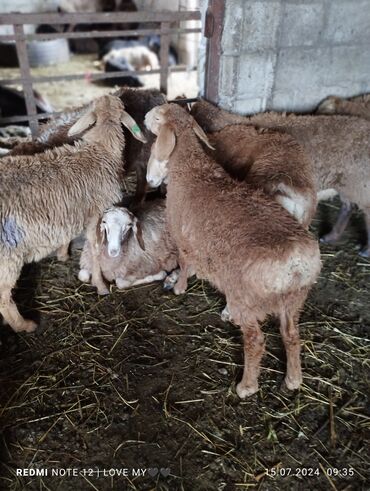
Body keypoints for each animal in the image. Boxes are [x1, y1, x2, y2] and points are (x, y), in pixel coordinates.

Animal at [0, 95, 147, 334]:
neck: (99, 151)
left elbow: (66, 235)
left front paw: (62, 255)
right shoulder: (97, 215)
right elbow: (96, 248)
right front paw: (101, 285)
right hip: (8, 257)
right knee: (3, 299)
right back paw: (25, 325)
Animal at [145, 104, 320, 400]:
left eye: (157, 117)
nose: (144, 117)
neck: (191, 167)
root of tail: (294, 265)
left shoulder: (182, 237)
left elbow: (184, 263)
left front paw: (179, 287)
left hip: (247, 301)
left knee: (255, 340)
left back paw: (246, 386)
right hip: (294, 301)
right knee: (291, 335)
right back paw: (293, 380)